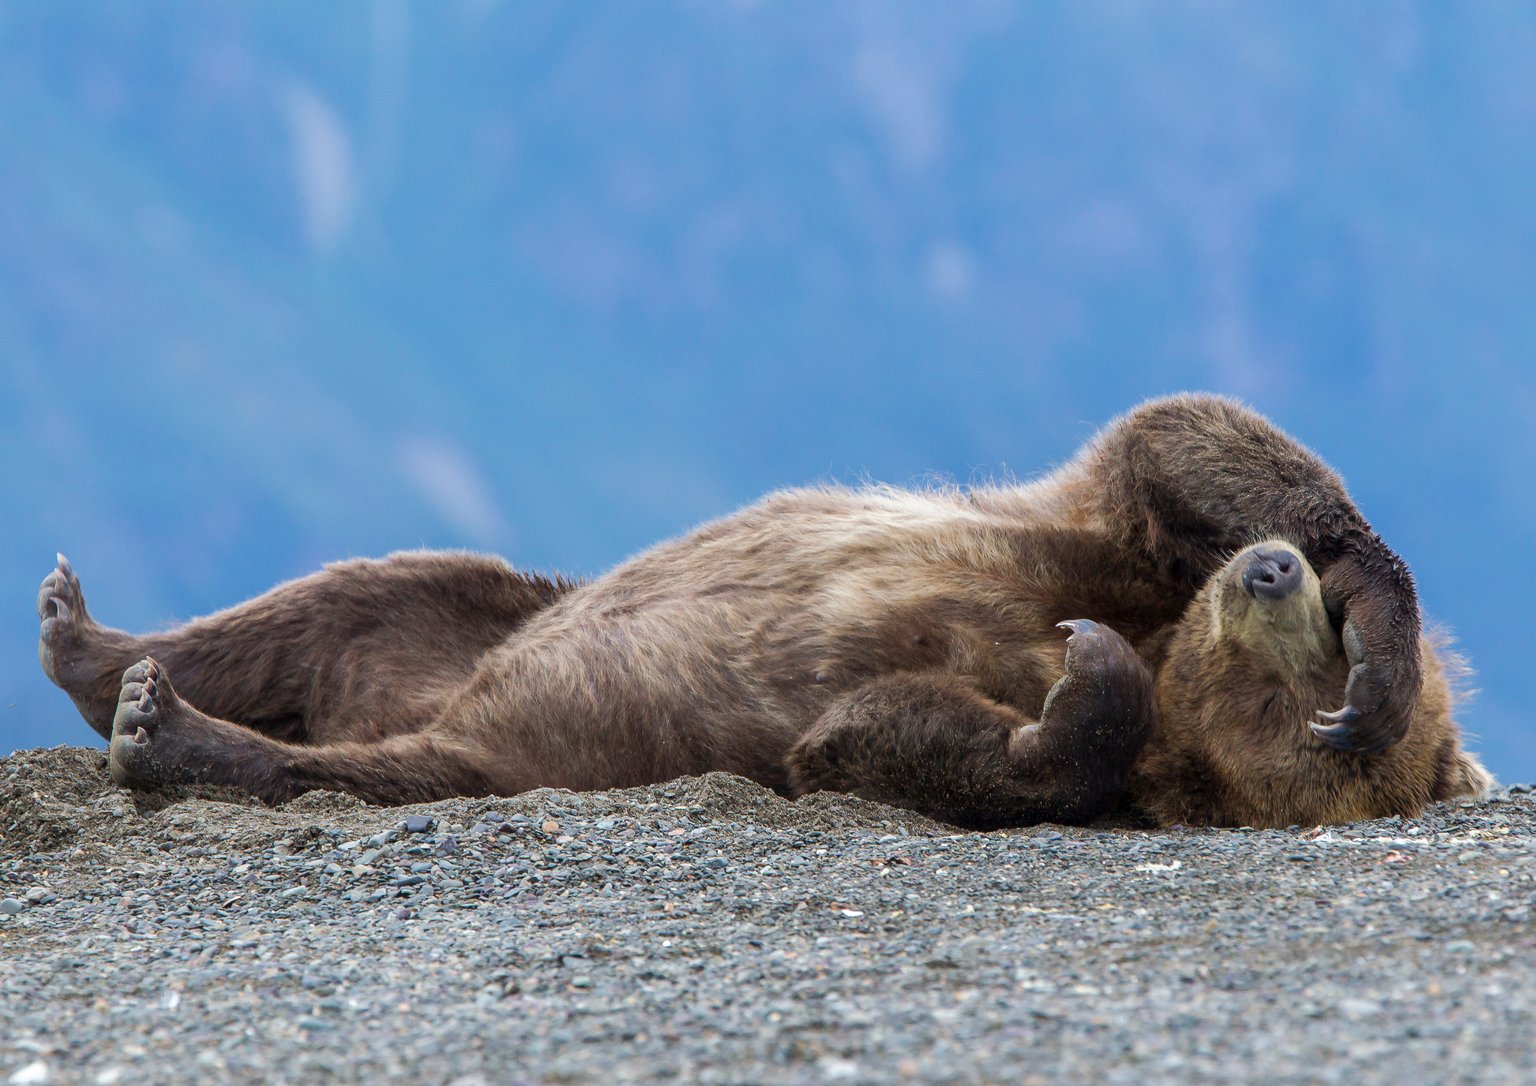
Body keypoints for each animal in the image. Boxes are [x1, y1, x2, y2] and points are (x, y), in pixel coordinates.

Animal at [34, 393, 1491, 828]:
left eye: (1282, 698)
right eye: (1308, 666)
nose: (1271, 581)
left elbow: (879, 733)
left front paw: (1084, 693)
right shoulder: (1096, 541)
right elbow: (1182, 442)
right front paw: (1381, 624)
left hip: (522, 738)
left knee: (396, 764)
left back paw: (168, 727)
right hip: (489, 611)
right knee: (361, 586)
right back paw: (92, 636)